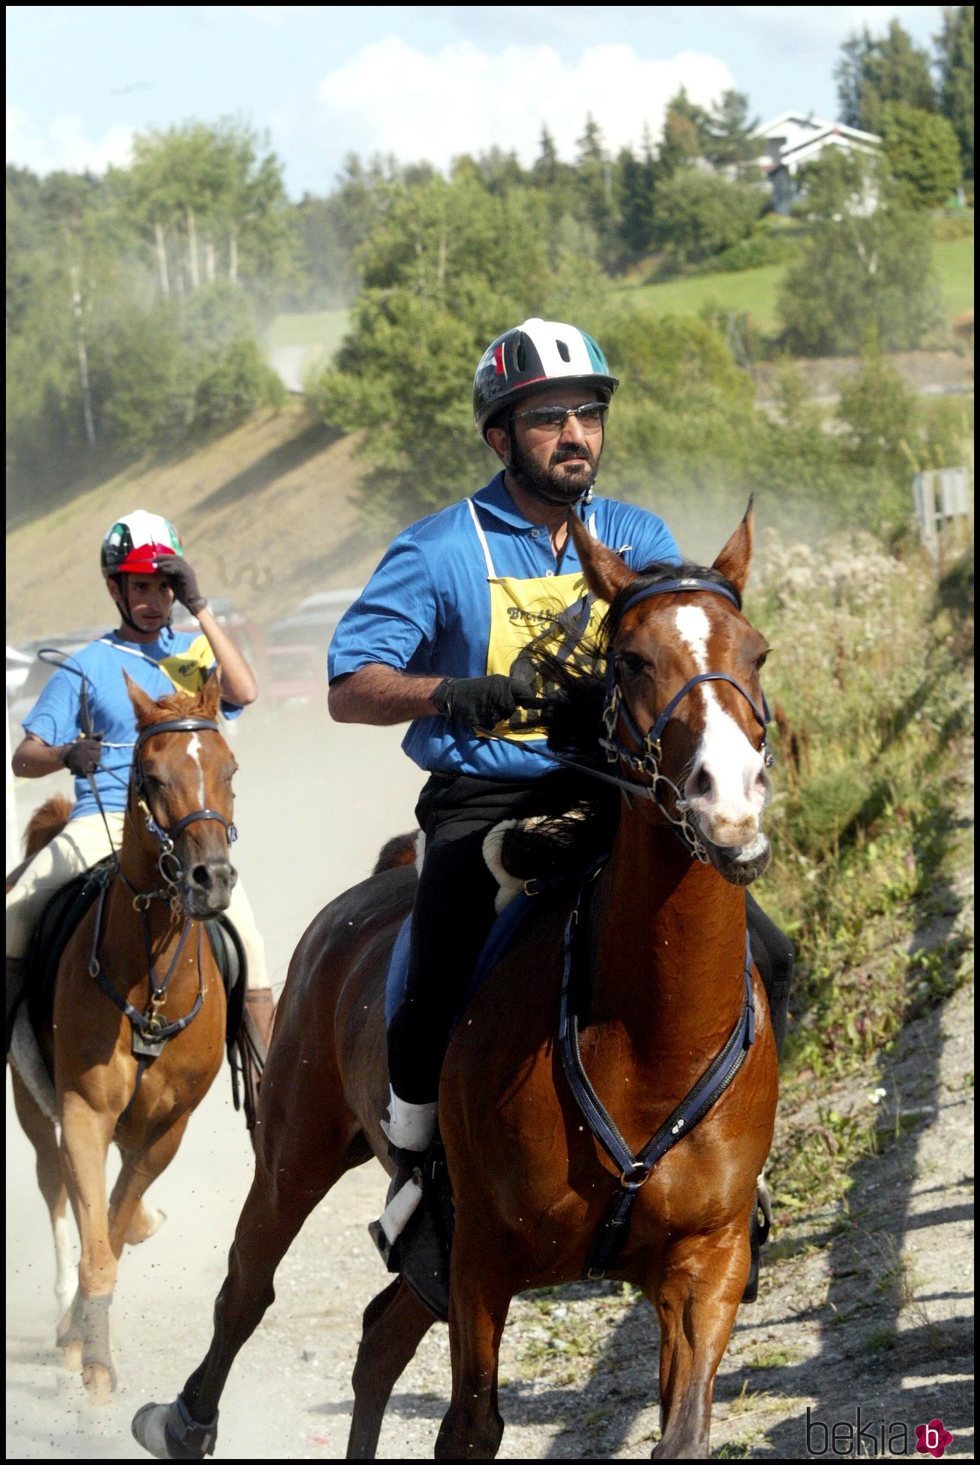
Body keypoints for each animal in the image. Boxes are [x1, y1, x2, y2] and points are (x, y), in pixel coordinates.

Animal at [7, 670, 238, 1400]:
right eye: (152, 776)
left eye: (229, 769)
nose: (211, 878)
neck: (150, 982)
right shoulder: (83, 1111)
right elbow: (96, 1240)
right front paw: (93, 1358)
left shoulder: (168, 1124)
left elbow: (115, 1217)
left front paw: (87, 1332)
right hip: (32, 1101)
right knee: (53, 1183)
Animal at [131, 506, 779, 1465]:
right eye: (630, 658)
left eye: (757, 652)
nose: (727, 803)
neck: (648, 1041)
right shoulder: (482, 1258)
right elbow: (470, 1426)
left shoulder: (708, 1260)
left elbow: (683, 1430)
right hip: (296, 1152)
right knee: (247, 1286)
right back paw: (184, 1420)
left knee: (378, 1335)